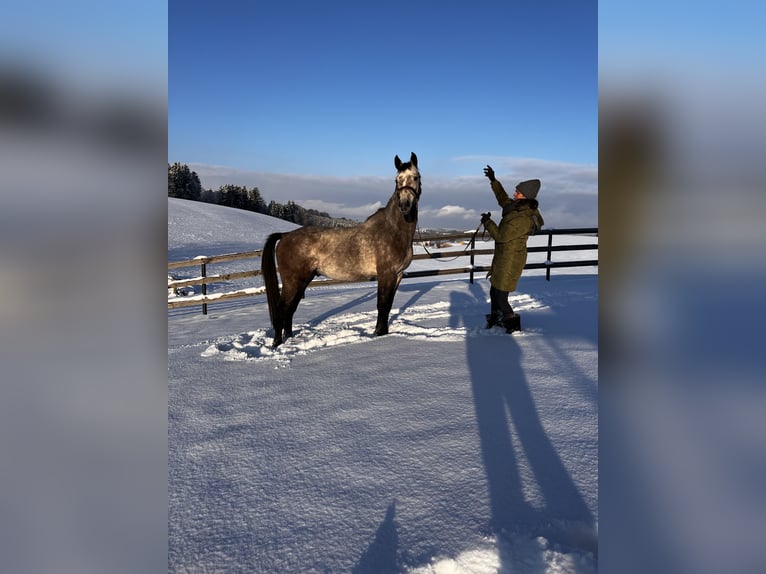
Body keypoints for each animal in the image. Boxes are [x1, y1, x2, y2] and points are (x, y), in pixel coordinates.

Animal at [260, 153, 424, 348]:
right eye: (397, 180)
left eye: (416, 177)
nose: (405, 206)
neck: (393, 230)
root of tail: (284, 235)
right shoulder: (386, 274)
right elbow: (382, 305)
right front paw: (378, 334)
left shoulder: (397, 275)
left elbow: (388, 306)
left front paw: (383, 333)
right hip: (292, 281)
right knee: (282, 309)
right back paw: (277, 343)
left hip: (302, 280)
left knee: (290, 310)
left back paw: (289, 339)